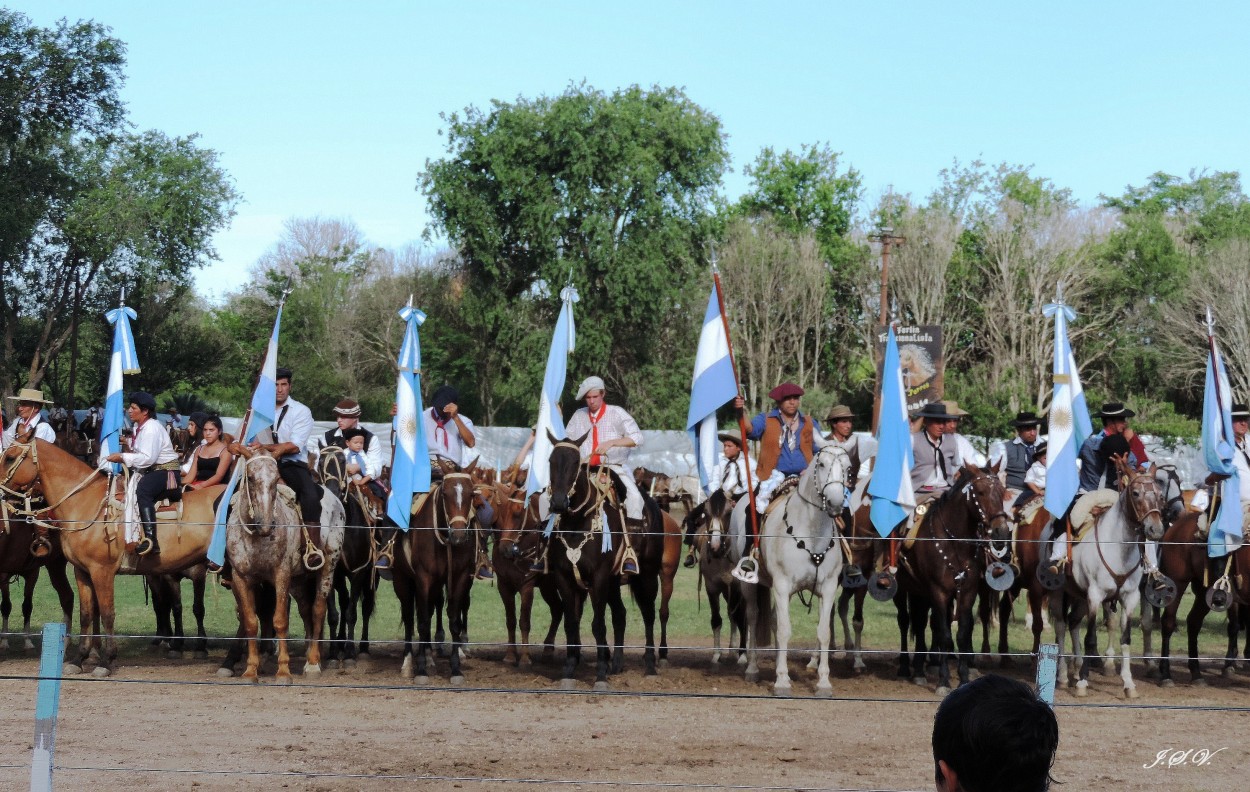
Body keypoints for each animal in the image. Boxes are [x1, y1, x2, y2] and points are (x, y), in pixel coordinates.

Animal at [0, 432, 222, 674]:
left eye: (10, 457)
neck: (85, 503)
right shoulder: (82, 572)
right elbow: (87, 613)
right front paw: (78, 659)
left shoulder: (102, 571)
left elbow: (107, 613)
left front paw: (106, 661)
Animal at [312, 442, 375, 664]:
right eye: (320, 461)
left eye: (342, 460)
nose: (332, 491)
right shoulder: (333, 572)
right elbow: (334, 613)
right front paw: (332, 653)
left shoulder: (358, 572)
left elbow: (352, 613)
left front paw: (349, 653)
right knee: (345, 600)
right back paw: (339, 643)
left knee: (365, 607)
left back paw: (363, 647)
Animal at [392, 459, 480, 679]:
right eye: (445, 494)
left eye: (471, 494)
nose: (459, 534)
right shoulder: (423, 578)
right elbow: (422, 621)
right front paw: (421, 669)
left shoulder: (460, 577)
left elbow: (454, 619)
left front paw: (455, 668)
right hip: (402, 580)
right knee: (409, 618)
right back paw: (408, 663)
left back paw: (430, 657)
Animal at [895, 462, 1010, 689]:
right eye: (980, 492)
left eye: (1002, 492)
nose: (1001, 532)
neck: (955, 543)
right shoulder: (939, 592)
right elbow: (945, 635)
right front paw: (943, 681)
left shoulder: (967, 592)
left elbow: (962, 633)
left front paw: (964, 676)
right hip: (902, 587)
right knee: (905, 621)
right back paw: (905, 666)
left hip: (919, 591)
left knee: (920, 622)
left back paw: (920, 668)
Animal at [1055, 457, 1170, 694]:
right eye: (1135, 493)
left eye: (1159, 494)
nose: (1155, 529)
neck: (1118, 549)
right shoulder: (1095, 596)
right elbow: (1090, 638)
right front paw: (1082, 683)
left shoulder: (1130, 597)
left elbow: (1125, 638)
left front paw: (1128, 684)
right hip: (1059, 593)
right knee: (1060, 626)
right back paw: (1062, 675)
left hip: (1079, 597)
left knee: (1073, 622)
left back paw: (1075, 668)